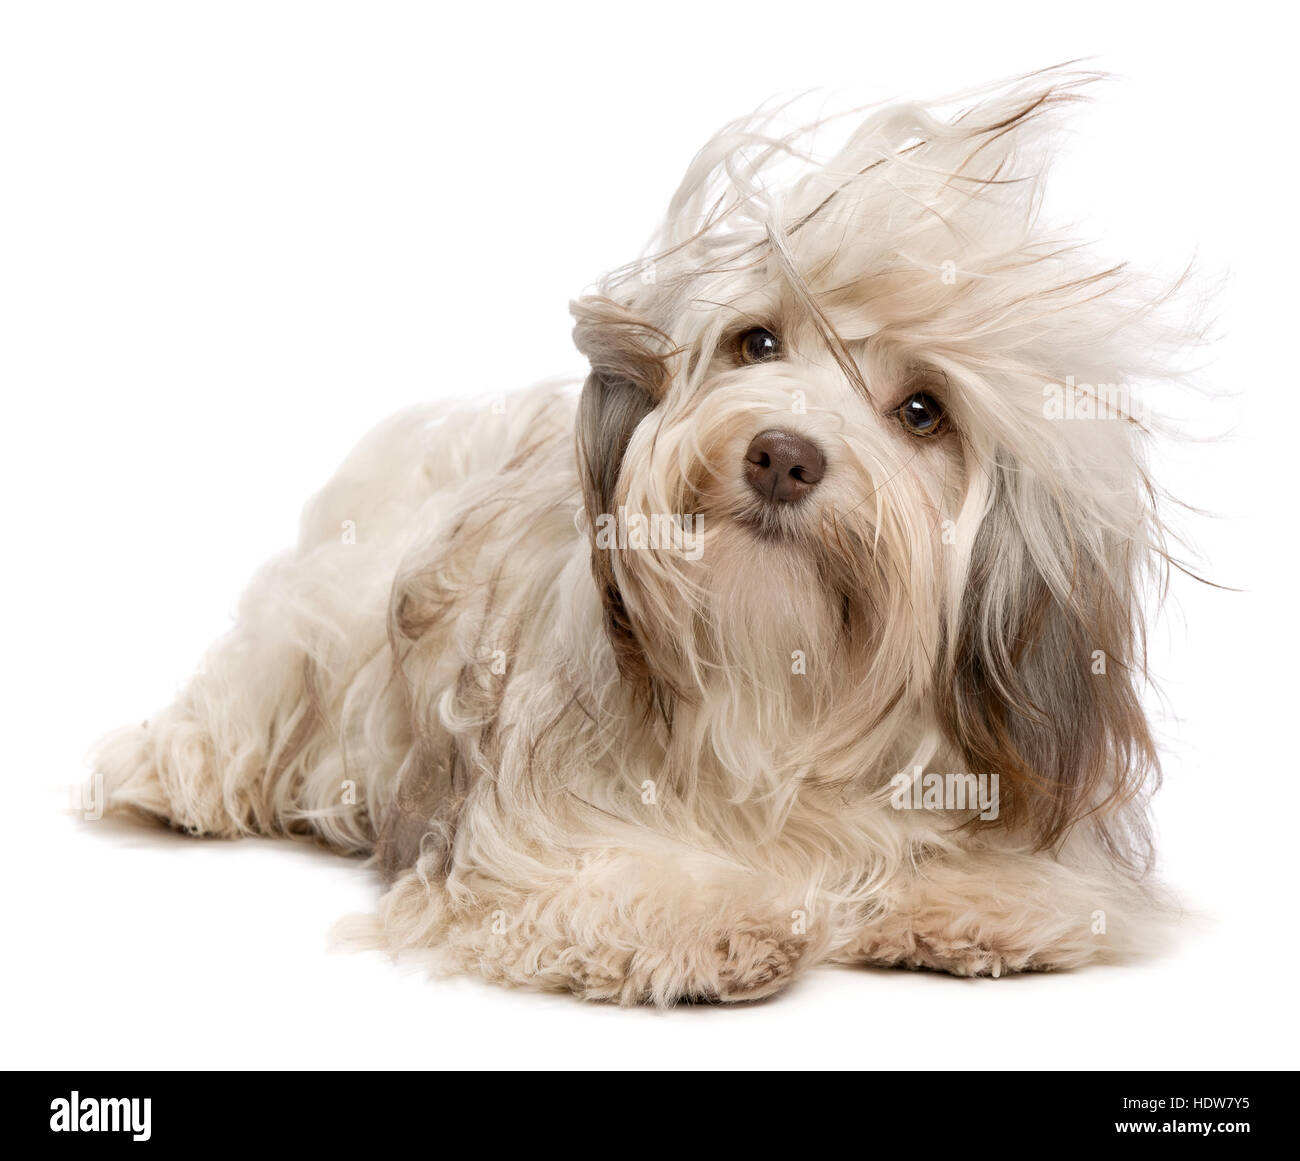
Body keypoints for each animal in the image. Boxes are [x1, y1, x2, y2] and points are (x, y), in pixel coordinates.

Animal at [89, 67, 1196, 1003]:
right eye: (756, 341)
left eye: (923, 412)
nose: (782, 455)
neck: (776, 679)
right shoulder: (543, 832)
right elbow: (611, 879)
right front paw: (706, 917)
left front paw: (973, 902)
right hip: (316, 635)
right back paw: (176, 776)